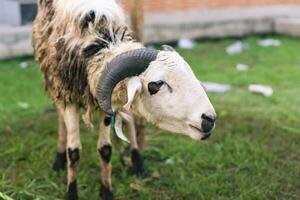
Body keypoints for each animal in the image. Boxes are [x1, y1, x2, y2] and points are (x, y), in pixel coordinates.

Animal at [32, 0, 216, 200]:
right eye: (156, 84)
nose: (209, 119)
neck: (96, 41)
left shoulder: (106, 101)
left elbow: (105, 149)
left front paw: (106, 190)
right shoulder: (70, 96)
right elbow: (73, 152)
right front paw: (71, 192)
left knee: (131, 123)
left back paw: (138, 163)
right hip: (56, 86)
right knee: (61, 121)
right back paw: (58, 160)